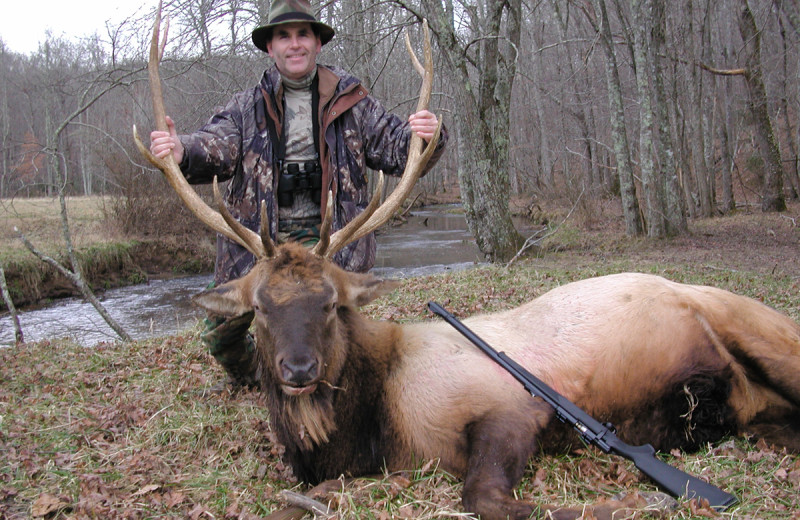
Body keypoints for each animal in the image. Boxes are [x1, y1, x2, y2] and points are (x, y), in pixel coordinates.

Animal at [133, 8, 800, 520]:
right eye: (261, 308)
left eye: (330, 303)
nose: (299, 370)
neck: (371, 429)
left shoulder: (510, 405)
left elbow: (484, 498)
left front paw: (635, 502)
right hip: (754, 409)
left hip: (757, 325)